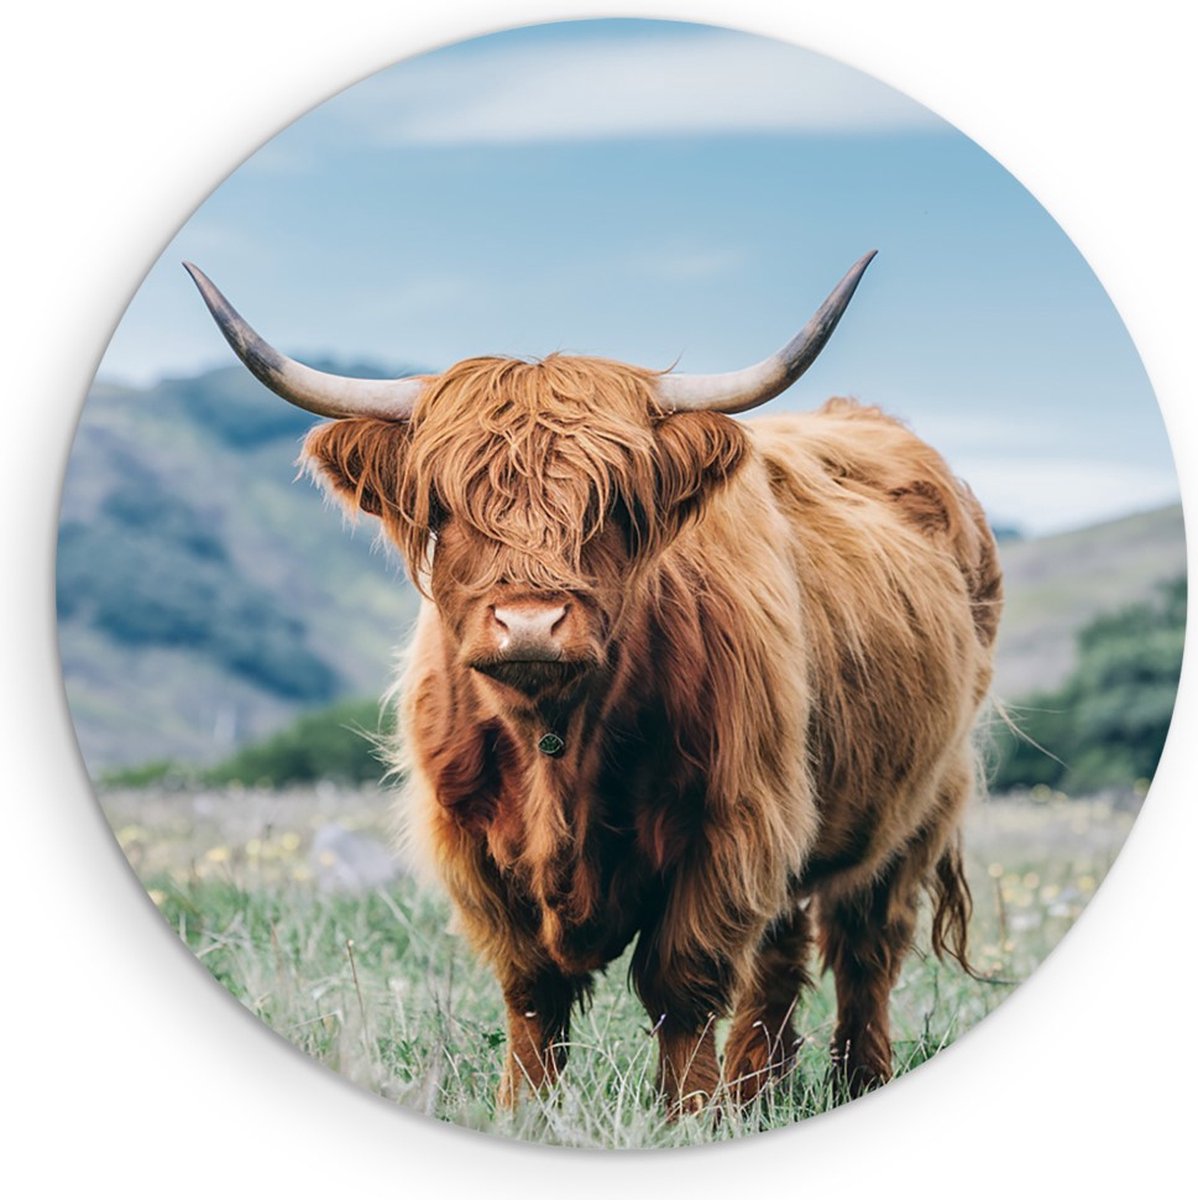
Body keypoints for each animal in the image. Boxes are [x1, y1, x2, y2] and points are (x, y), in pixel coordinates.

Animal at [186, 253, 1002, 1115]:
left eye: (610, 507)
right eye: (447, 506)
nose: (531, 623)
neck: (556, 739)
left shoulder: (731, 824)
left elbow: (681, 983)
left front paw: (687, 1116)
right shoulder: (473, 843)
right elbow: (532, 992)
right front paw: (525, 1111)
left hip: (917, 805)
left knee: (864, 945)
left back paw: (854, 1080)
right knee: (783, 952)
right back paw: (757, 1088)